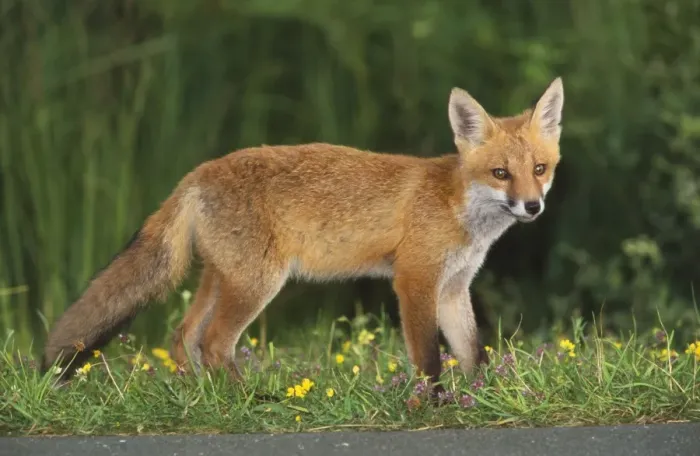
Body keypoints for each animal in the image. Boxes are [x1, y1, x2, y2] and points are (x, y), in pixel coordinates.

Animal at [42, 77, 564, 392]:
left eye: (539, 169)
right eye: (500, 173)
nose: (533, 206)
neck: (458, 208)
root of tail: (197, 173)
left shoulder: (454, 287)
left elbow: (473, 352)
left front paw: (485, 397)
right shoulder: (415, 279)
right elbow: (429, 358)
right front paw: (430, 404)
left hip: (222, 278)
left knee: (182, 336)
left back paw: (201, 396)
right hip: (257, 283)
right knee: (213, 342)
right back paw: (246, 401)